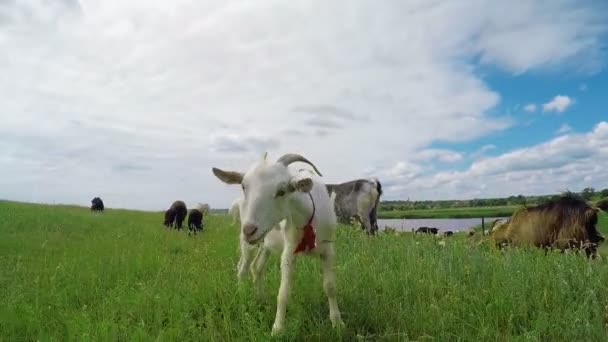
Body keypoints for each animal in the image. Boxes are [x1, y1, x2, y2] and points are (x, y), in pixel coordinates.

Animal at [211, 152, 344, 336]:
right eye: (244, 187)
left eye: (282, 191)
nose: (249, 230)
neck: (308, 216)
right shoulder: (288, 252)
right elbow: (283, 292)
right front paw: (278, 329)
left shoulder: (328, 250)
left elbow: (330, 286)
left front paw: (337, 322)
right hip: (248, 243)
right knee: (242, 268)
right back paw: (242, 295)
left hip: (264, 242)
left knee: (256, 267)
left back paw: (260, 297)